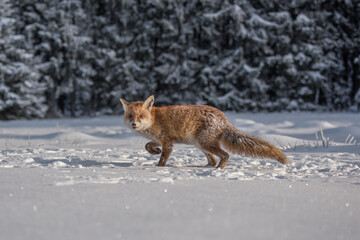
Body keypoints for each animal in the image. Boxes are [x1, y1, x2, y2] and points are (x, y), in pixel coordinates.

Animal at [121, 95, 290, 169]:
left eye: (140, 116)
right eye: (130, 116)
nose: (134, 123)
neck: (154, 120)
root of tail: (223, 118)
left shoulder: (168, 142)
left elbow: (163, 158)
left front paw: (158, 167)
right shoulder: (160, 140)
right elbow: (147, 146)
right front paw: (154, 151)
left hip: (204, 143)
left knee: (225, 155)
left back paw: (218, 170)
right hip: (201, 145)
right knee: (213, 159)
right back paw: (205, 167)